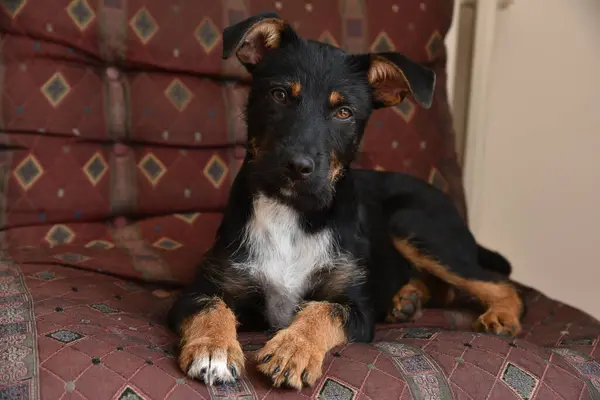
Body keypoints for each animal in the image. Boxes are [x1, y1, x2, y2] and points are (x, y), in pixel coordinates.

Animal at [166, 11, 524, 390]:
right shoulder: (202, 288)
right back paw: (409, 299)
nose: (298, 166)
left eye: (344, 113)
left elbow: (324, 310)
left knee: (500, 284)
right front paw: (214, 348)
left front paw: (293, 349)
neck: (292, 212)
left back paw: (500, 315)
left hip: (412, 224)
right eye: (279, 94)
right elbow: (211, 307)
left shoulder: (358, 309)